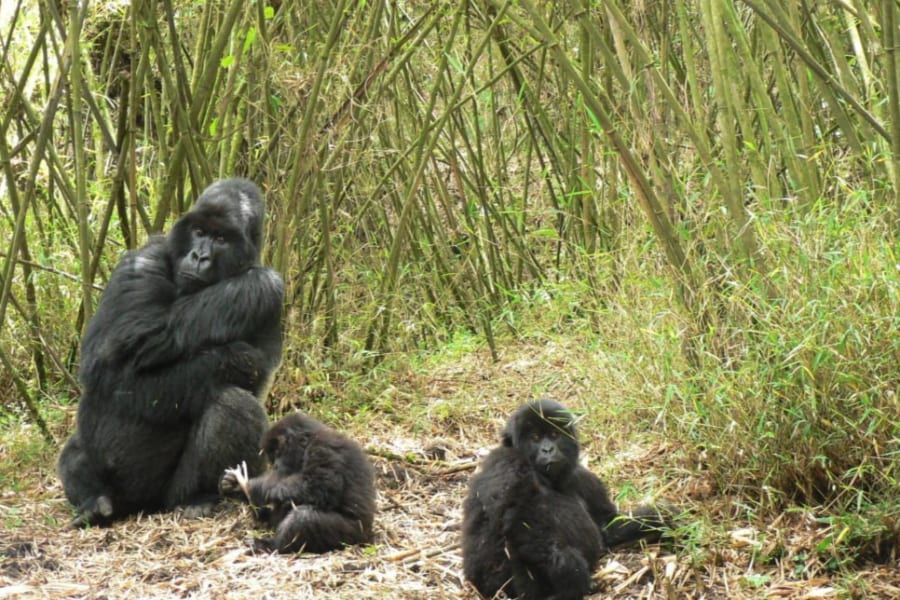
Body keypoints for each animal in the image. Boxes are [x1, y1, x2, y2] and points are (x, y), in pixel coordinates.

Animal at [57, 177, 282, 524]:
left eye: (220, 239)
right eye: (199, 232)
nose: (199, 256)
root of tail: (137, 506)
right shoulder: (142, 260)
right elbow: (111, 359)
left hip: (166, 496)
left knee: (233, 405)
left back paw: (197, 497)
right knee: (76, 449)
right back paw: (94, 499)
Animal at [221, 412, 376, 552]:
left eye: (277, 452)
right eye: (273, 456)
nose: (275, 465)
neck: (310, 441)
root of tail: (368, 537)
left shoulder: (323, 448)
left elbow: (320, 486)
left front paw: (255, 487)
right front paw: (237, 488)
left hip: (351, 536)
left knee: (304, 516)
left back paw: (271, 546)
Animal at [464, 398, 668, 600]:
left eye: (554, 434)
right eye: (535, 438)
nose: (547, 449)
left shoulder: (585, 478)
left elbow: (608, 523)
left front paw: (658, 518)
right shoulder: (505, 462)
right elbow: (509, 519)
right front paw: (569, 569)